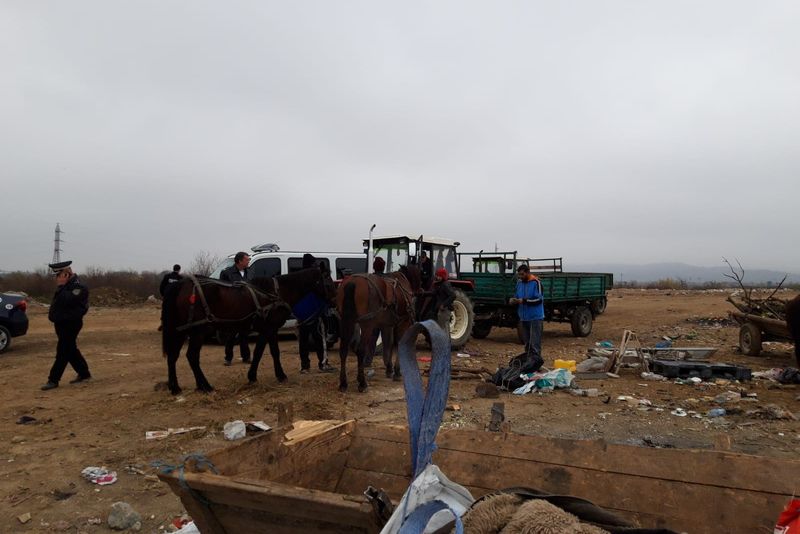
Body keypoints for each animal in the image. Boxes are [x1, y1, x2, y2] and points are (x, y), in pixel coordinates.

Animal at [161, 267, 335, 395]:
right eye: (328, 282)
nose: (333, 302)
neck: (276, 293)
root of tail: (181, 285)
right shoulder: (270, 328)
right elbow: (269, 352)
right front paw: (277, 375)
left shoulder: (267, 330)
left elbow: (263, 352)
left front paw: (256, 376)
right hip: (198, 332)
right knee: (191, 356)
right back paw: (205, 386)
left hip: (181, 332)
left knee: (173, 356)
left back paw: (176, 388)